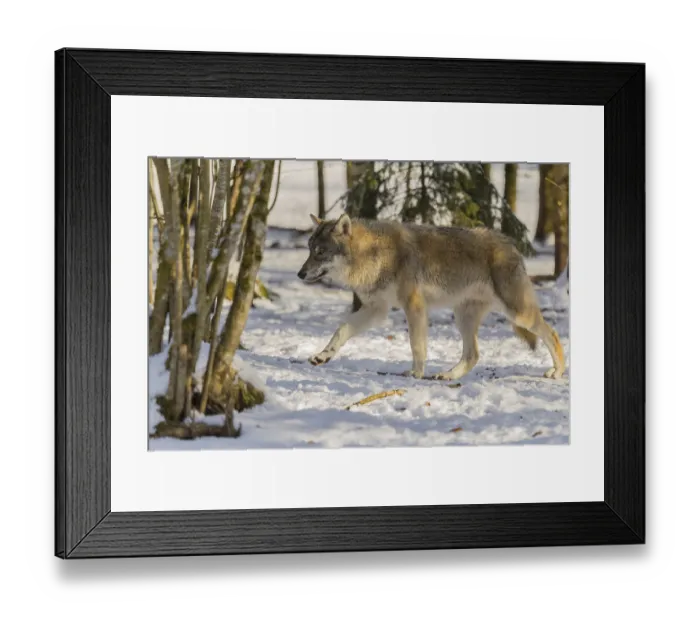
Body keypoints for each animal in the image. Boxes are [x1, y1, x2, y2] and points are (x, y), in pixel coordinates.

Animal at [297, 214, 566, 380]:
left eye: (320, 252)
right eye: (309, 250)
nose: (300, 274)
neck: (375, 255)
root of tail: (511, 244)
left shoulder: (413, 305)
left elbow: (416, 345)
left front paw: (415, 374)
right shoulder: (376, 309)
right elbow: (341, 330)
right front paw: (323, 356)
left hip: (517, 314)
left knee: (552, 333)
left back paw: (557, 372)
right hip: (463, 317)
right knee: (473, 355)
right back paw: (447, 375)